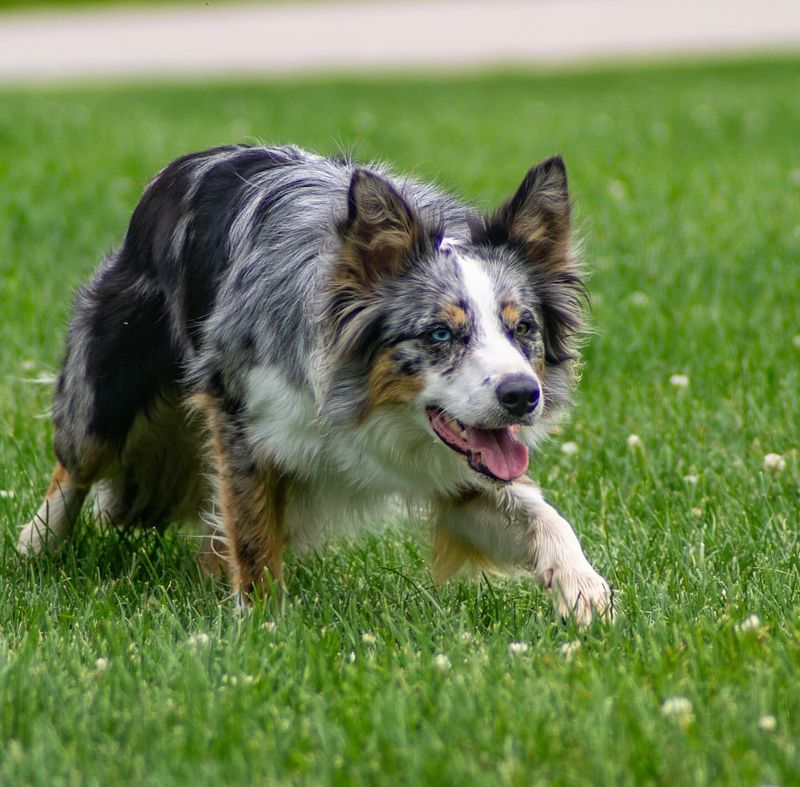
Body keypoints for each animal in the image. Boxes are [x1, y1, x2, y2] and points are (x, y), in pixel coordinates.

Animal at [18, 142, 616, 620]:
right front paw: (262, 627)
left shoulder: (457, 473)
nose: (522, 396)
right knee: (74, 466)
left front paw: (583, 589)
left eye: (525, 328)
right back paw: (34, 547)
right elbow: (252, 537)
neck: (363, 406)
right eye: (440, 334)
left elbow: (541, 513)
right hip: (105, 387)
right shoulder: (241, 424)